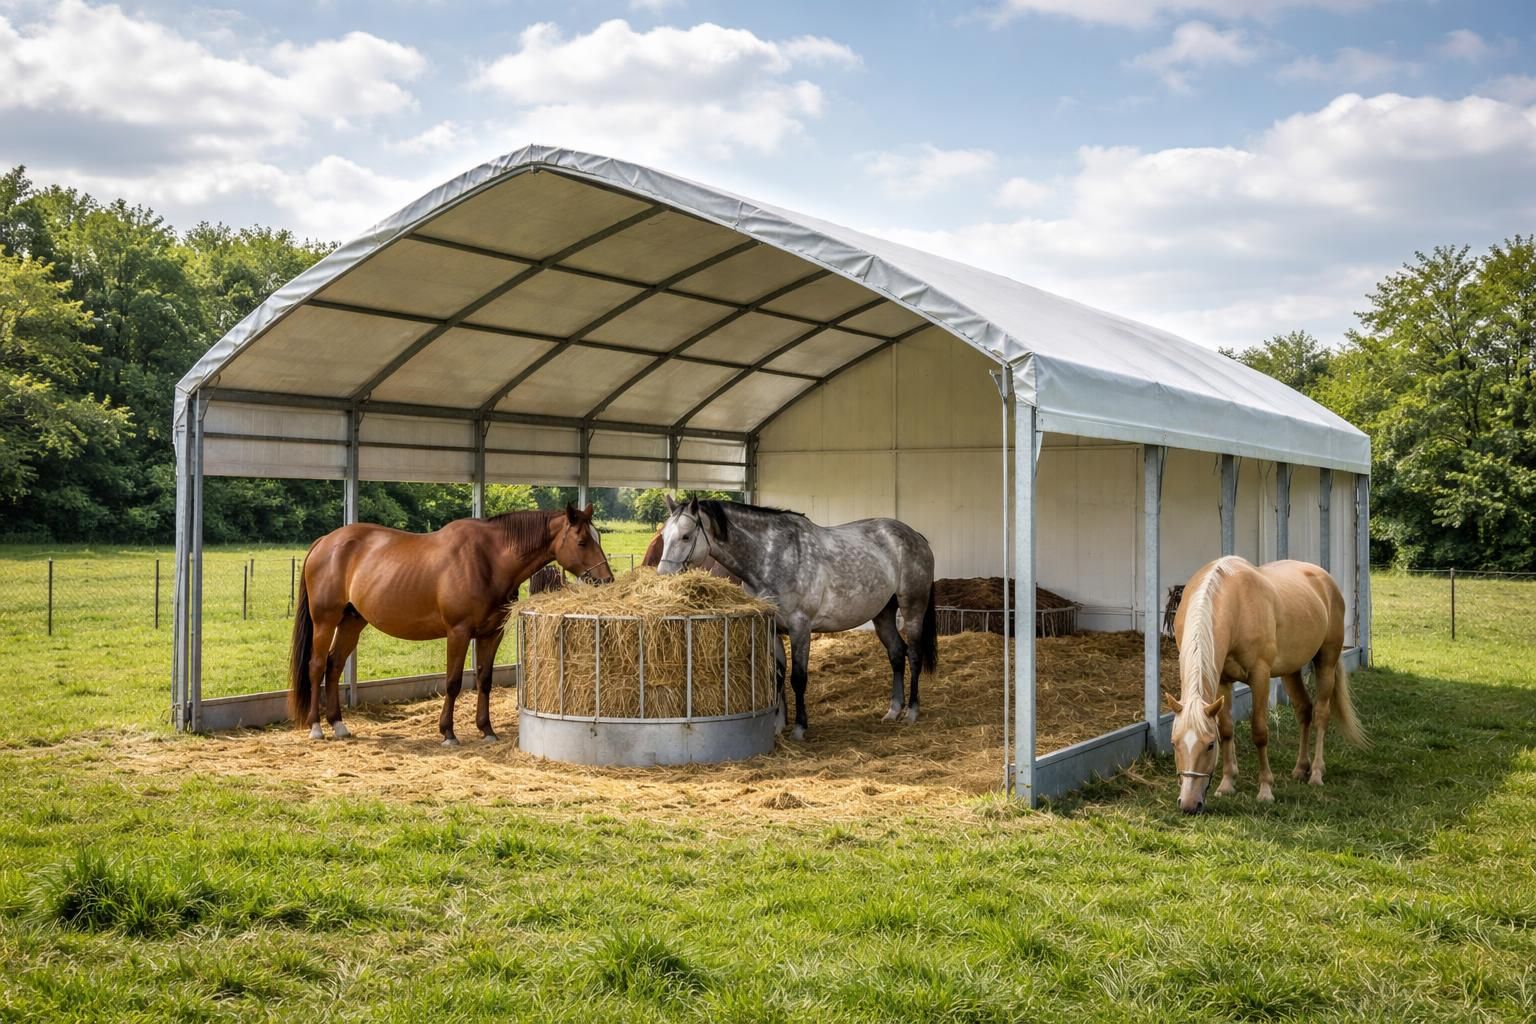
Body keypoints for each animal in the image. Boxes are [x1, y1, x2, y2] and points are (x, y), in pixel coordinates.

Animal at [288, 505, 613, 745]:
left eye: (597, 538)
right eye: (582, 541)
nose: (606, 580)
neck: (489, 559)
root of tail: (324, 542)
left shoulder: (491, 634)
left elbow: (484, 680)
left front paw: (487, 729)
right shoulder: (458, 633)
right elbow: (453, 682)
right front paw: (448, 732)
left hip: (352, 622)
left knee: (334, 665)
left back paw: (338, 725)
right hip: (325, 620)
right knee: (317, 666)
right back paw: (316, 727)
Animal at [655, 497, 937, 740]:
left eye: (686, 536)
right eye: (664, 536)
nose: (663, 576)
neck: (773, 556)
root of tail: (915, 536)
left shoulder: (800, 628)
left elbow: (798, 678)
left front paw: (800, 728)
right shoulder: (772, 630)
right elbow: (778, 676)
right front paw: (778, 726)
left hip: (913, 607)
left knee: (913, 654)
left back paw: (912, 711)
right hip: (883, 615)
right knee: (896, 654)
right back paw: (893, 710)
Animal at [1169, 556, 1365, 814]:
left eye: (1210, 745)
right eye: (1174, 743)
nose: (1189, 804)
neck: (1235, 603)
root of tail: (1325, 578)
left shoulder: (1260, 676)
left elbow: (1260, 732)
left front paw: (1265, 790)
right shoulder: (1222, 679)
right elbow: (1227, 728)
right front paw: (1227, 783)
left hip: (1327, 661)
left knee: (1321, 714)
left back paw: (1316, 773)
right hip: (1291, 671)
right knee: (1304, 710)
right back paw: (1300, 768)